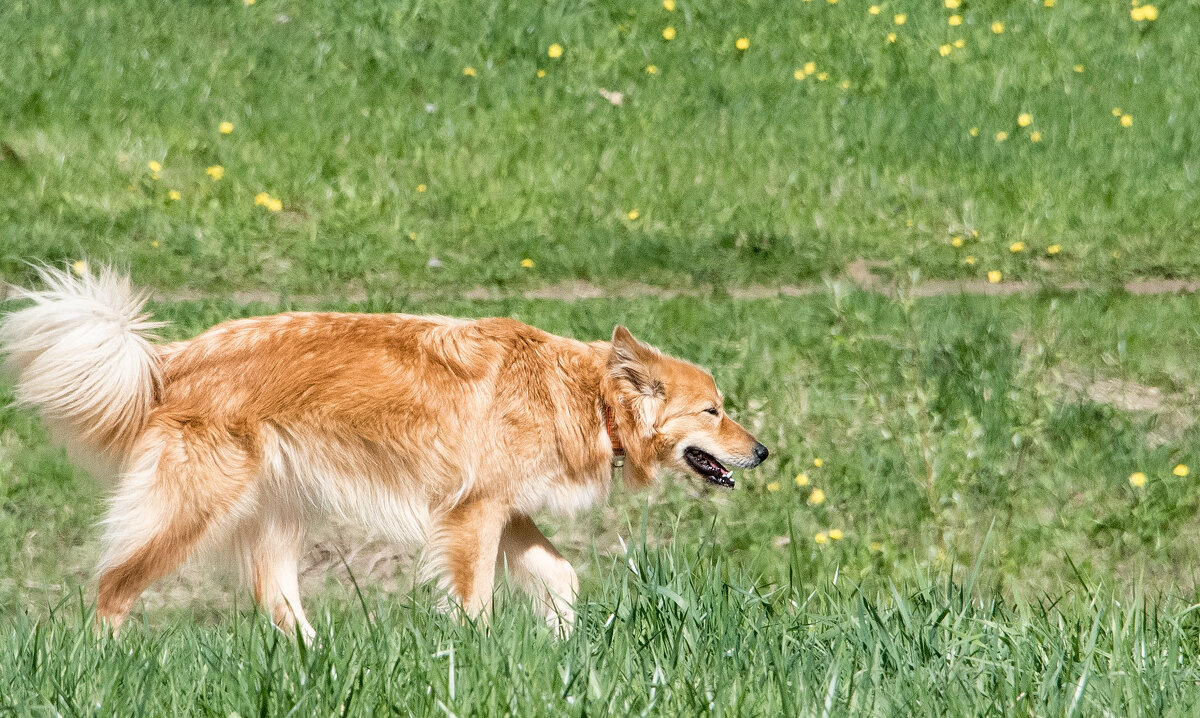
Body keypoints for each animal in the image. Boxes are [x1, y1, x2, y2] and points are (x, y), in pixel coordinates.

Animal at [0, 267, 768, 638]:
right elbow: (475, 602)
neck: (586, 396)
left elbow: (561, 577)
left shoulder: (506, 513)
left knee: (277, 601)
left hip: (277, 516)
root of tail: (170, 360)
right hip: (191, 511)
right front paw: (476, 658)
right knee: (113, 588)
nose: (761, 451)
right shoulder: (473, 516)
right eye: (713, 410)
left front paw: (563, 645)